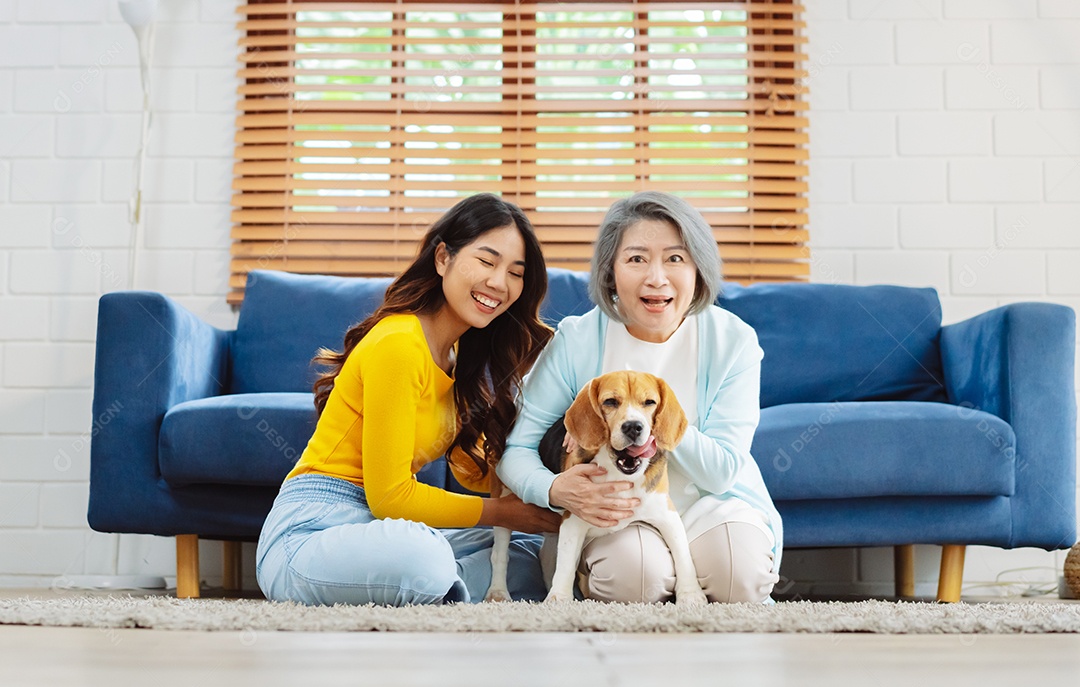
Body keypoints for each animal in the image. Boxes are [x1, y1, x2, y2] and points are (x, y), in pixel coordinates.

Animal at [488, 369, 708, 604]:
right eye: (610, 402)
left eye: (649, 402)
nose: (633, 427)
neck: (620, 476)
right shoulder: (573, 520)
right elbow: (566, 564)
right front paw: (559, 598)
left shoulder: (667, 515)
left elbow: (683, 555)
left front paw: (691, 595)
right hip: (504, 503)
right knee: (500, 553)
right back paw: (498, 592)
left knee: (546, 555)